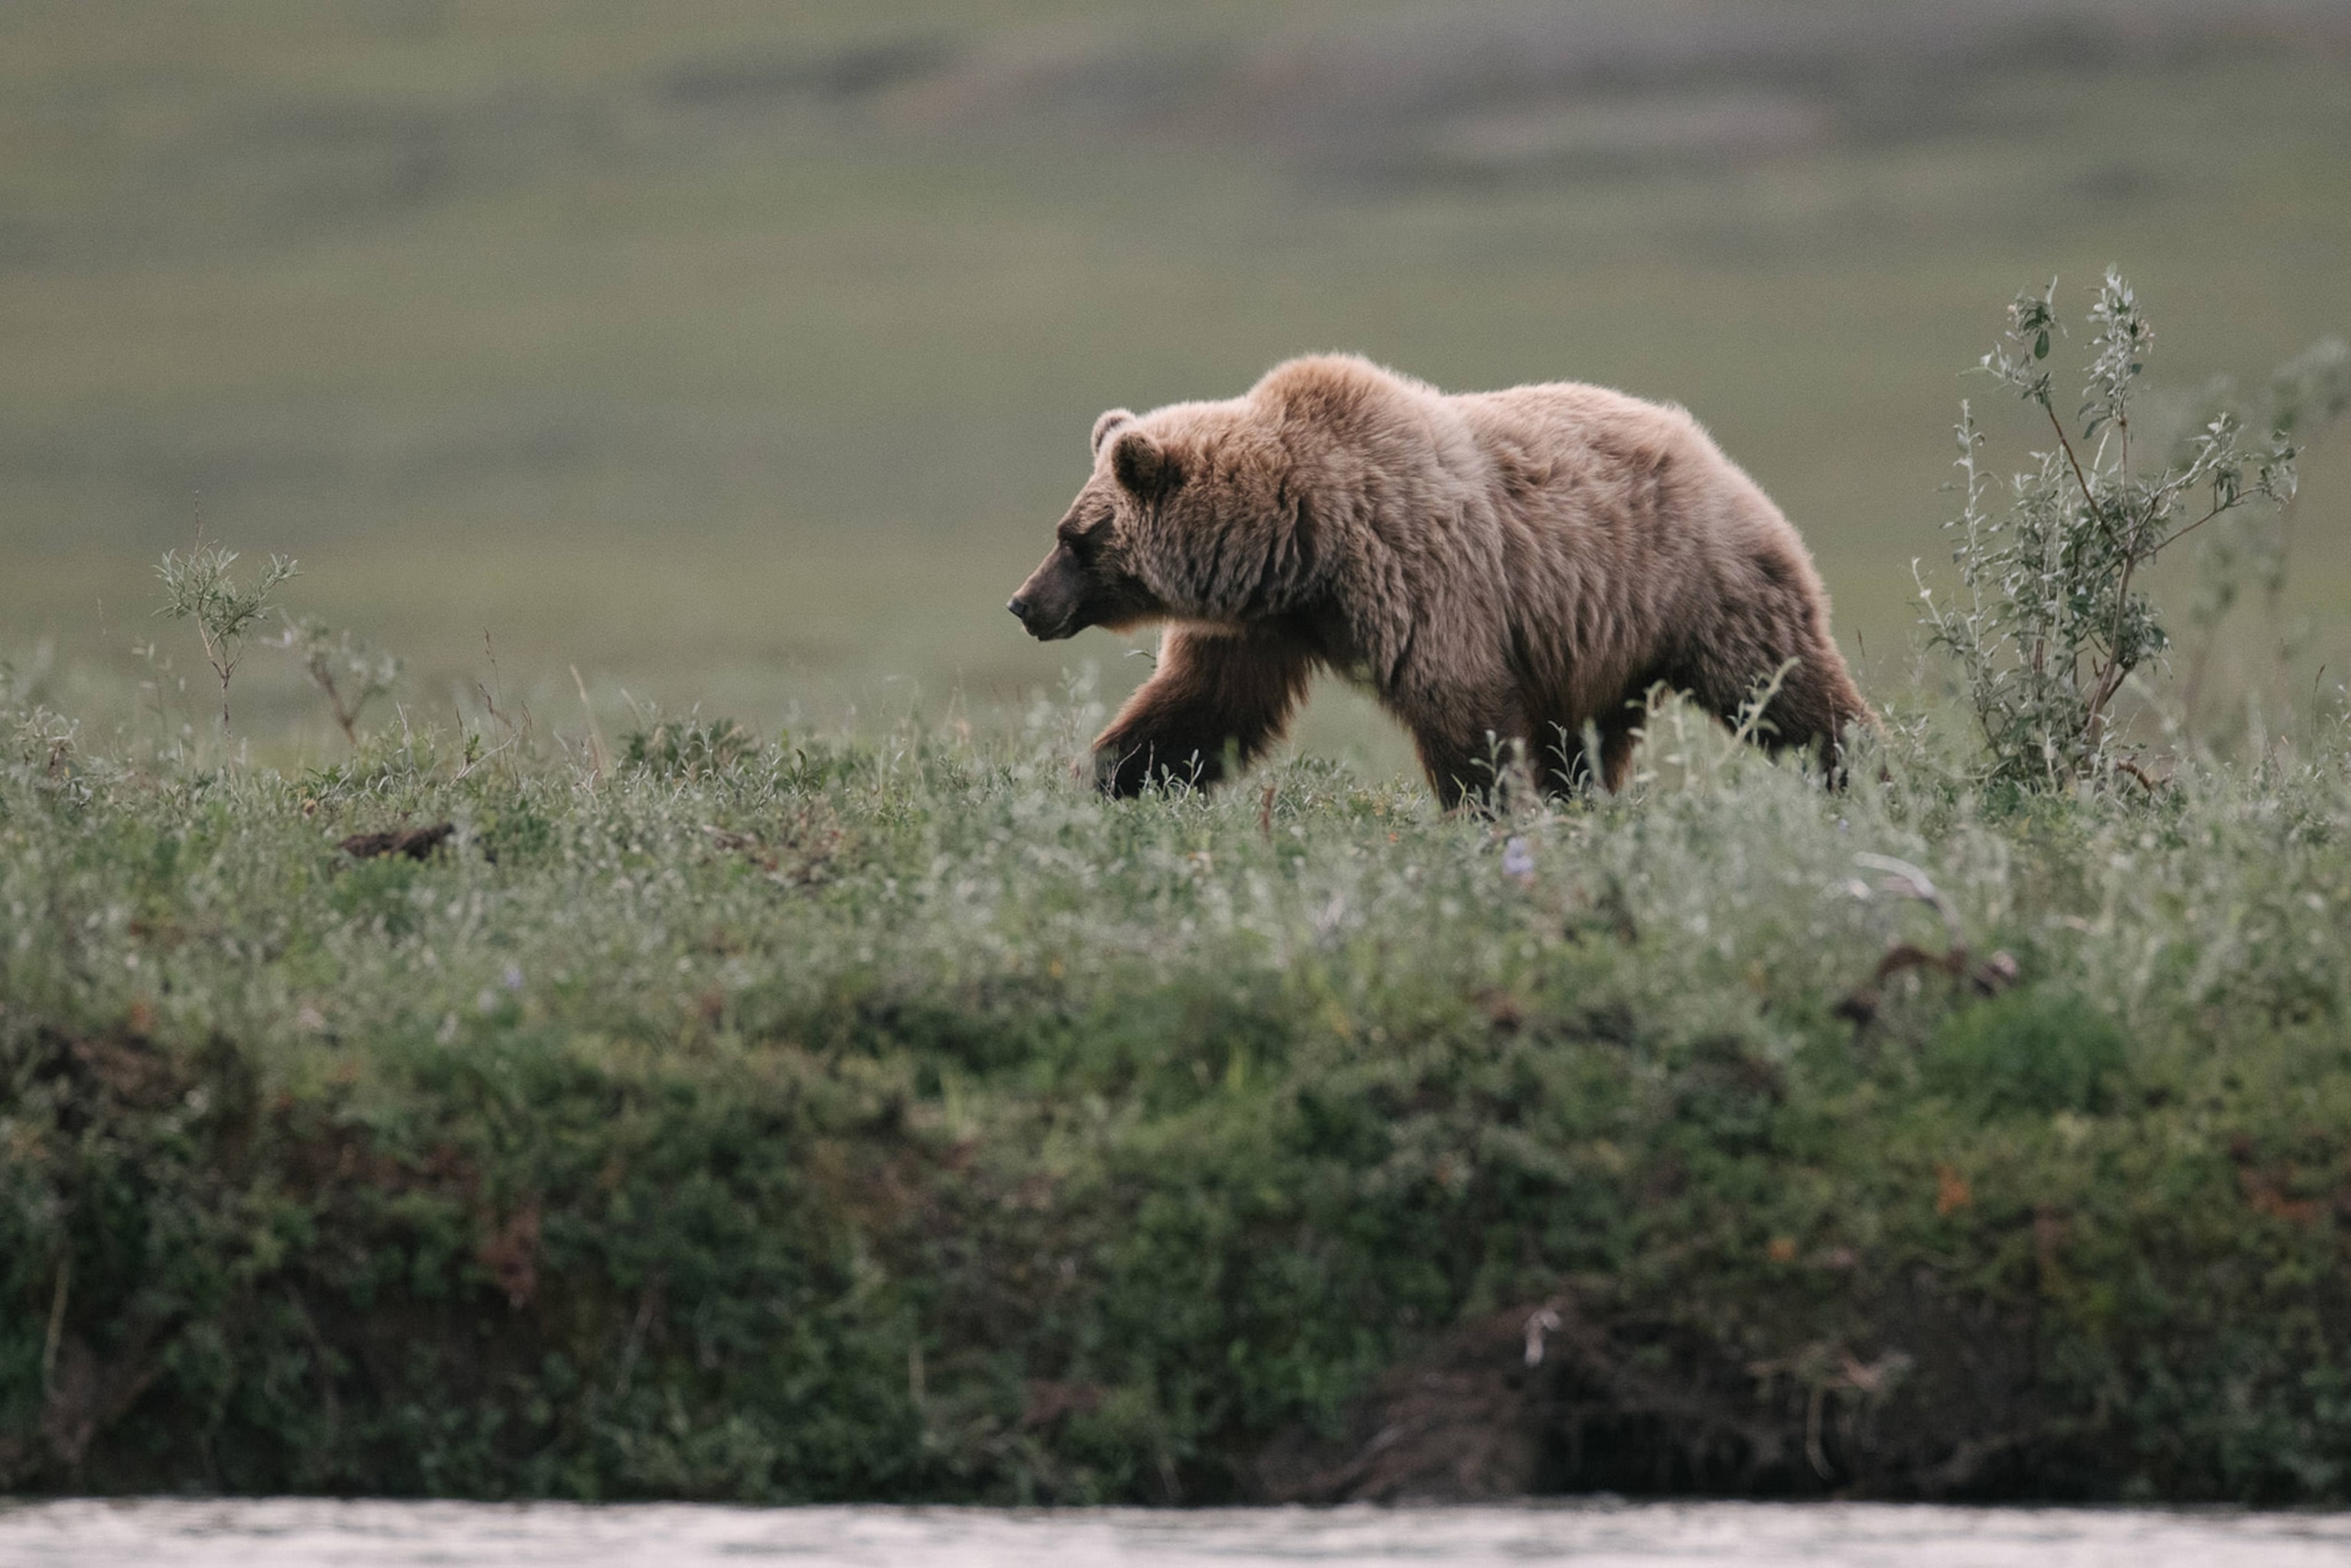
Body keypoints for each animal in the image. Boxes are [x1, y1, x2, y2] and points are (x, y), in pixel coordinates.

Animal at [1008, 354, 1873, 807]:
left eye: (1076, 539)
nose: (1022, 604)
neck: (1297, 548)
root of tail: (1704, 445)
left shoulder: (1420, 579)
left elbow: (1464, 713)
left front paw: (1491, 820)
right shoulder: (1256, 626)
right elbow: (1201, 708)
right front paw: (1099, 779)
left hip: (1696, 587)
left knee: (1784, 691)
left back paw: (1864, 778)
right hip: (1597, 643)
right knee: (1584, 741)